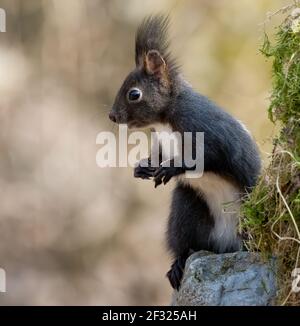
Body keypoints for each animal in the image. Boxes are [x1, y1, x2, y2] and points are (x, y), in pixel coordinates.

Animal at [109, 15, 262, 290]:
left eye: (134, 94)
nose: (112, 116)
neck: (165, 120)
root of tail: (225, 245)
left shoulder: (207, 131)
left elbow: (206, 157)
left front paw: (172, 168)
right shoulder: (161, 142)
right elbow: (157, 155)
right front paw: (142, 167)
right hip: (186, 210)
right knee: (186, 245)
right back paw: (178, 264)